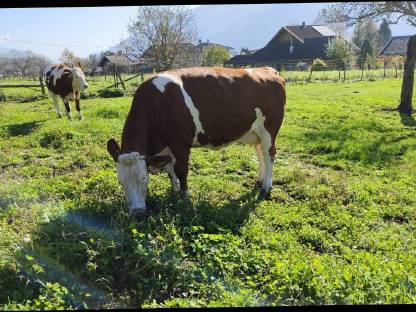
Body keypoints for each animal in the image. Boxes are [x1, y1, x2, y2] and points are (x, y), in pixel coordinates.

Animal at [106, 66, 286, 216]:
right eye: (120, 181)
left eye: (144, 178)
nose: (137, 212)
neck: (156, 105)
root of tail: (267, 70)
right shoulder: (165, 148)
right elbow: (170, 170)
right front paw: (174, 192)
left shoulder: (180, 144)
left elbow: (181, 171)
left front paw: (185, 198)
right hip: (255, 133)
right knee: (261, 153)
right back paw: (259, 182)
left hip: (269, 130)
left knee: (270, 155)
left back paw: (266, 187)